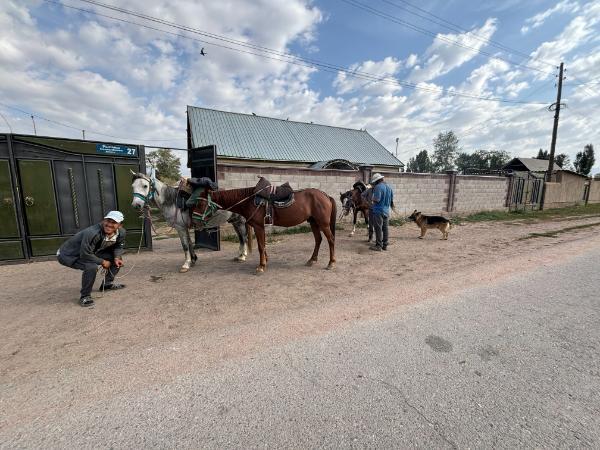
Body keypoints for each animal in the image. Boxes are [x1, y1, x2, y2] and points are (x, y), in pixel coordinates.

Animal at [196, 187, 338, 272]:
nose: (197, 222)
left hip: (323, 223)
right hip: (313, 222)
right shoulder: (259, 228)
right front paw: (265, 260)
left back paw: (331, 263)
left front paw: (261, 266)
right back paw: (312, 260)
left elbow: (260, 246)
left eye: (201, 203)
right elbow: (263, 244)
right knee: (318, 240)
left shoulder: (258, 227)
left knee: (331, 240)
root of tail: (326, 195)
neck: (250, 201)